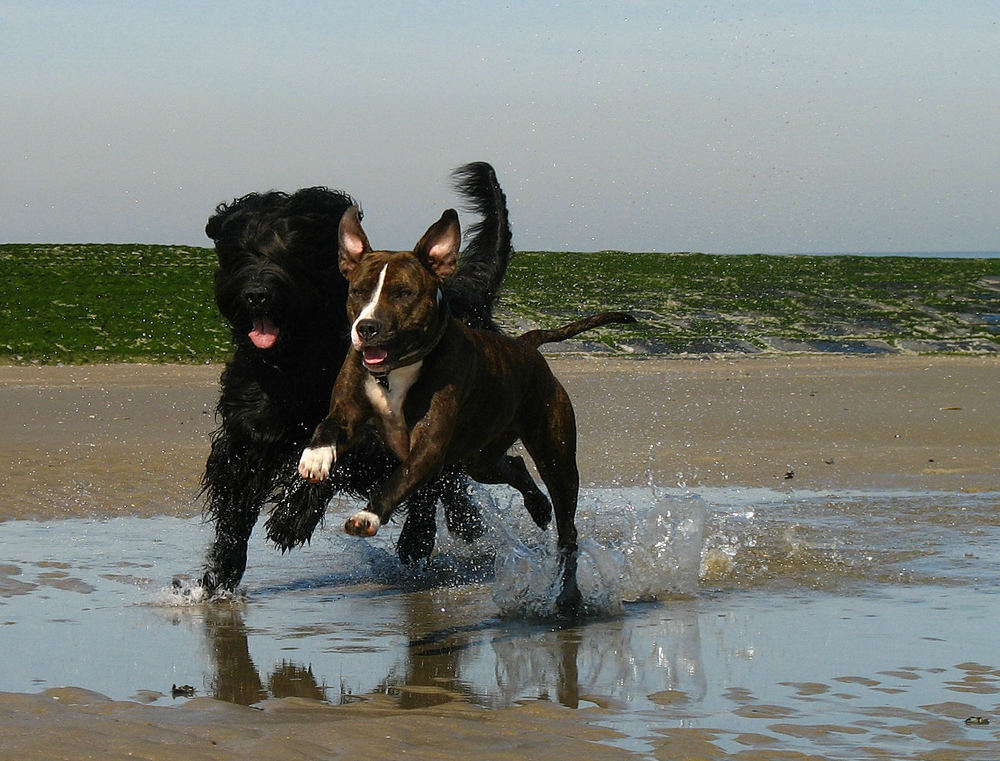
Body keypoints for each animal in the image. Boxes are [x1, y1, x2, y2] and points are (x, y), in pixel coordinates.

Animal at [198, 162, 512, 592]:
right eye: (241, 250)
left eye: (292, 252)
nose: (257, 295)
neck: (302, 359)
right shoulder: (250, 428)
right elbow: (236, 500)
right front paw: (219, 574)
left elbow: (339, 457)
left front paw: (292, 516)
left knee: (434, 484)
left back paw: (422, 536)